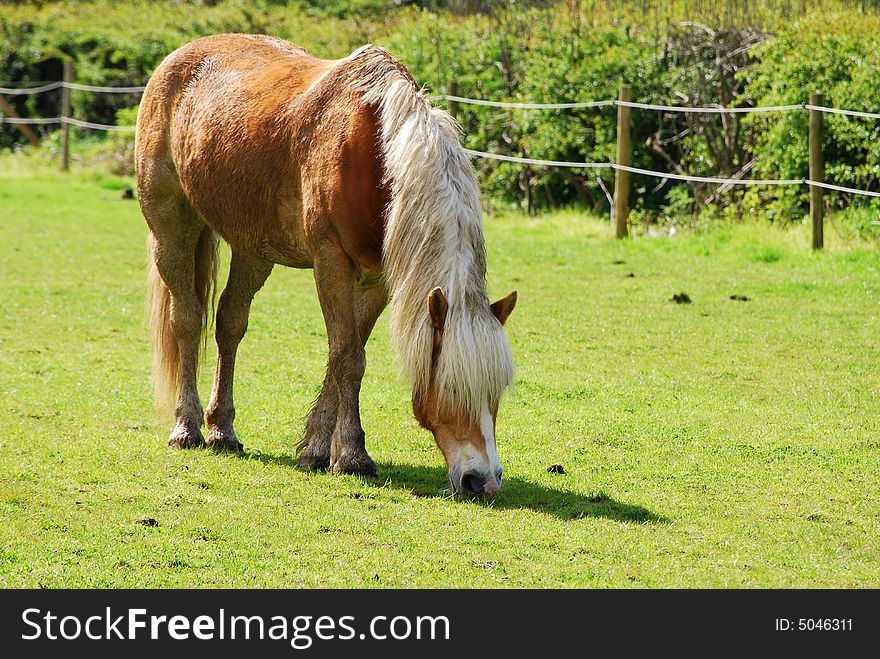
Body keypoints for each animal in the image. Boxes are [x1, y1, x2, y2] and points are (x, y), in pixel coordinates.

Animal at [136, 31, 516, 496]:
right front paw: (352, 456)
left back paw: (222, 430)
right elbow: (348, 357)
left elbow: (347, 355)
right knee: (188, 320)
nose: (484, 480)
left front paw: (317, 449)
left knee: (230, 323)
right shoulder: (330, 260)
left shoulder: (376, 279)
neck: (375, 154)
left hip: (253, 250)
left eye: (496, 394)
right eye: (454, 389)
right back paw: (187, 428)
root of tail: (178, 57)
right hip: (172, 228)